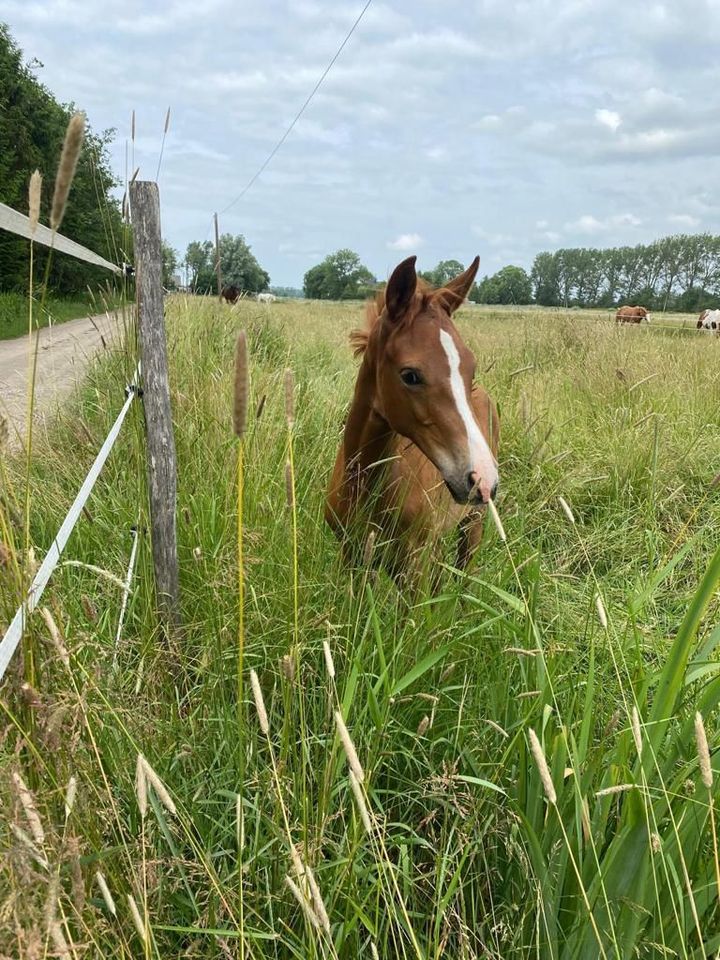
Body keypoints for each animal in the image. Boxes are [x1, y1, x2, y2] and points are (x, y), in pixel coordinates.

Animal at [326, 253, 500, 576]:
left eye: (471, 368)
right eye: (410, 375)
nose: (483, 478)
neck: (363, 482)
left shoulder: (414, 564)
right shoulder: (353, 554)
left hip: (473, 523)